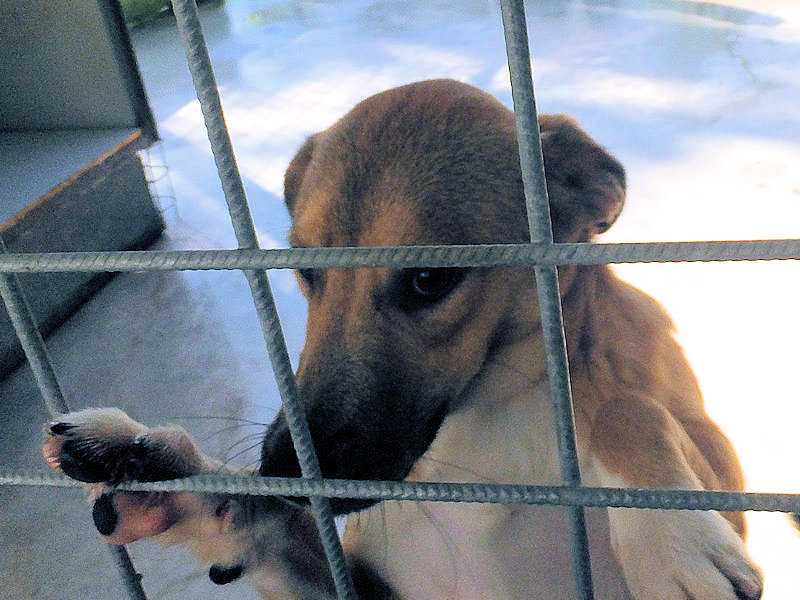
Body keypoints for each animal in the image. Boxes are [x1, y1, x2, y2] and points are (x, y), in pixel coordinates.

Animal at [43, 79, 763, 599]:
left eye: (428, 279)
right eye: (304, 270)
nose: (288, 471)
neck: (484, 422)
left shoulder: (715, 457)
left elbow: (623, 404)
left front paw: (670, 535)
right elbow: (271, 527)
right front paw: (177, 479)